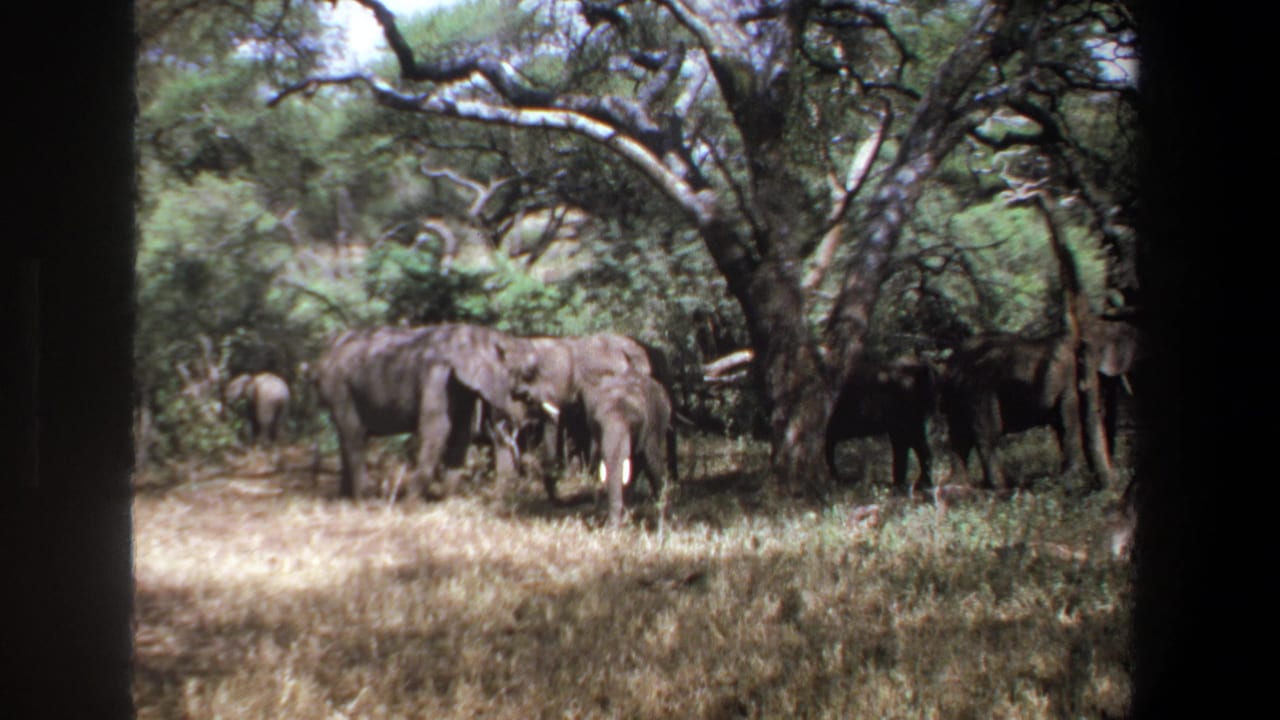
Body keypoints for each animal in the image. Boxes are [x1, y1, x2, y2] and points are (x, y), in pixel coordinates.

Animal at [314, 323, 538, 500]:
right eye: (527, 373)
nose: (527, 419)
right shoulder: (437, 376)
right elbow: (438, 430)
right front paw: (412, 504)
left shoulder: (462, 390)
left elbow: (461, 433)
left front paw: (449, 502)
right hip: (339, 387)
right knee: (355, 436)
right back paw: (365, 501)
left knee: (348, 438)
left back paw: (346, 499)